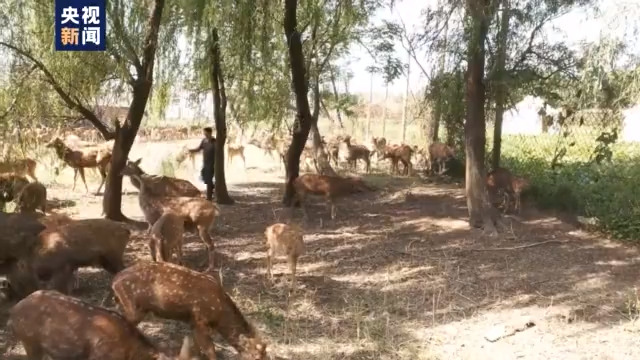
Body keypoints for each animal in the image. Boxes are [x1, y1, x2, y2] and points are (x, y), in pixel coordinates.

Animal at [112, 262, 268, 360]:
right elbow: (210, 349)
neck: (219, 316)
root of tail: (114, 282)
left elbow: (197, 346)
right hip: (133, 308)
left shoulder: (192, 321)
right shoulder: (200, 319)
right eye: (256, 356)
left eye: (265, 355)